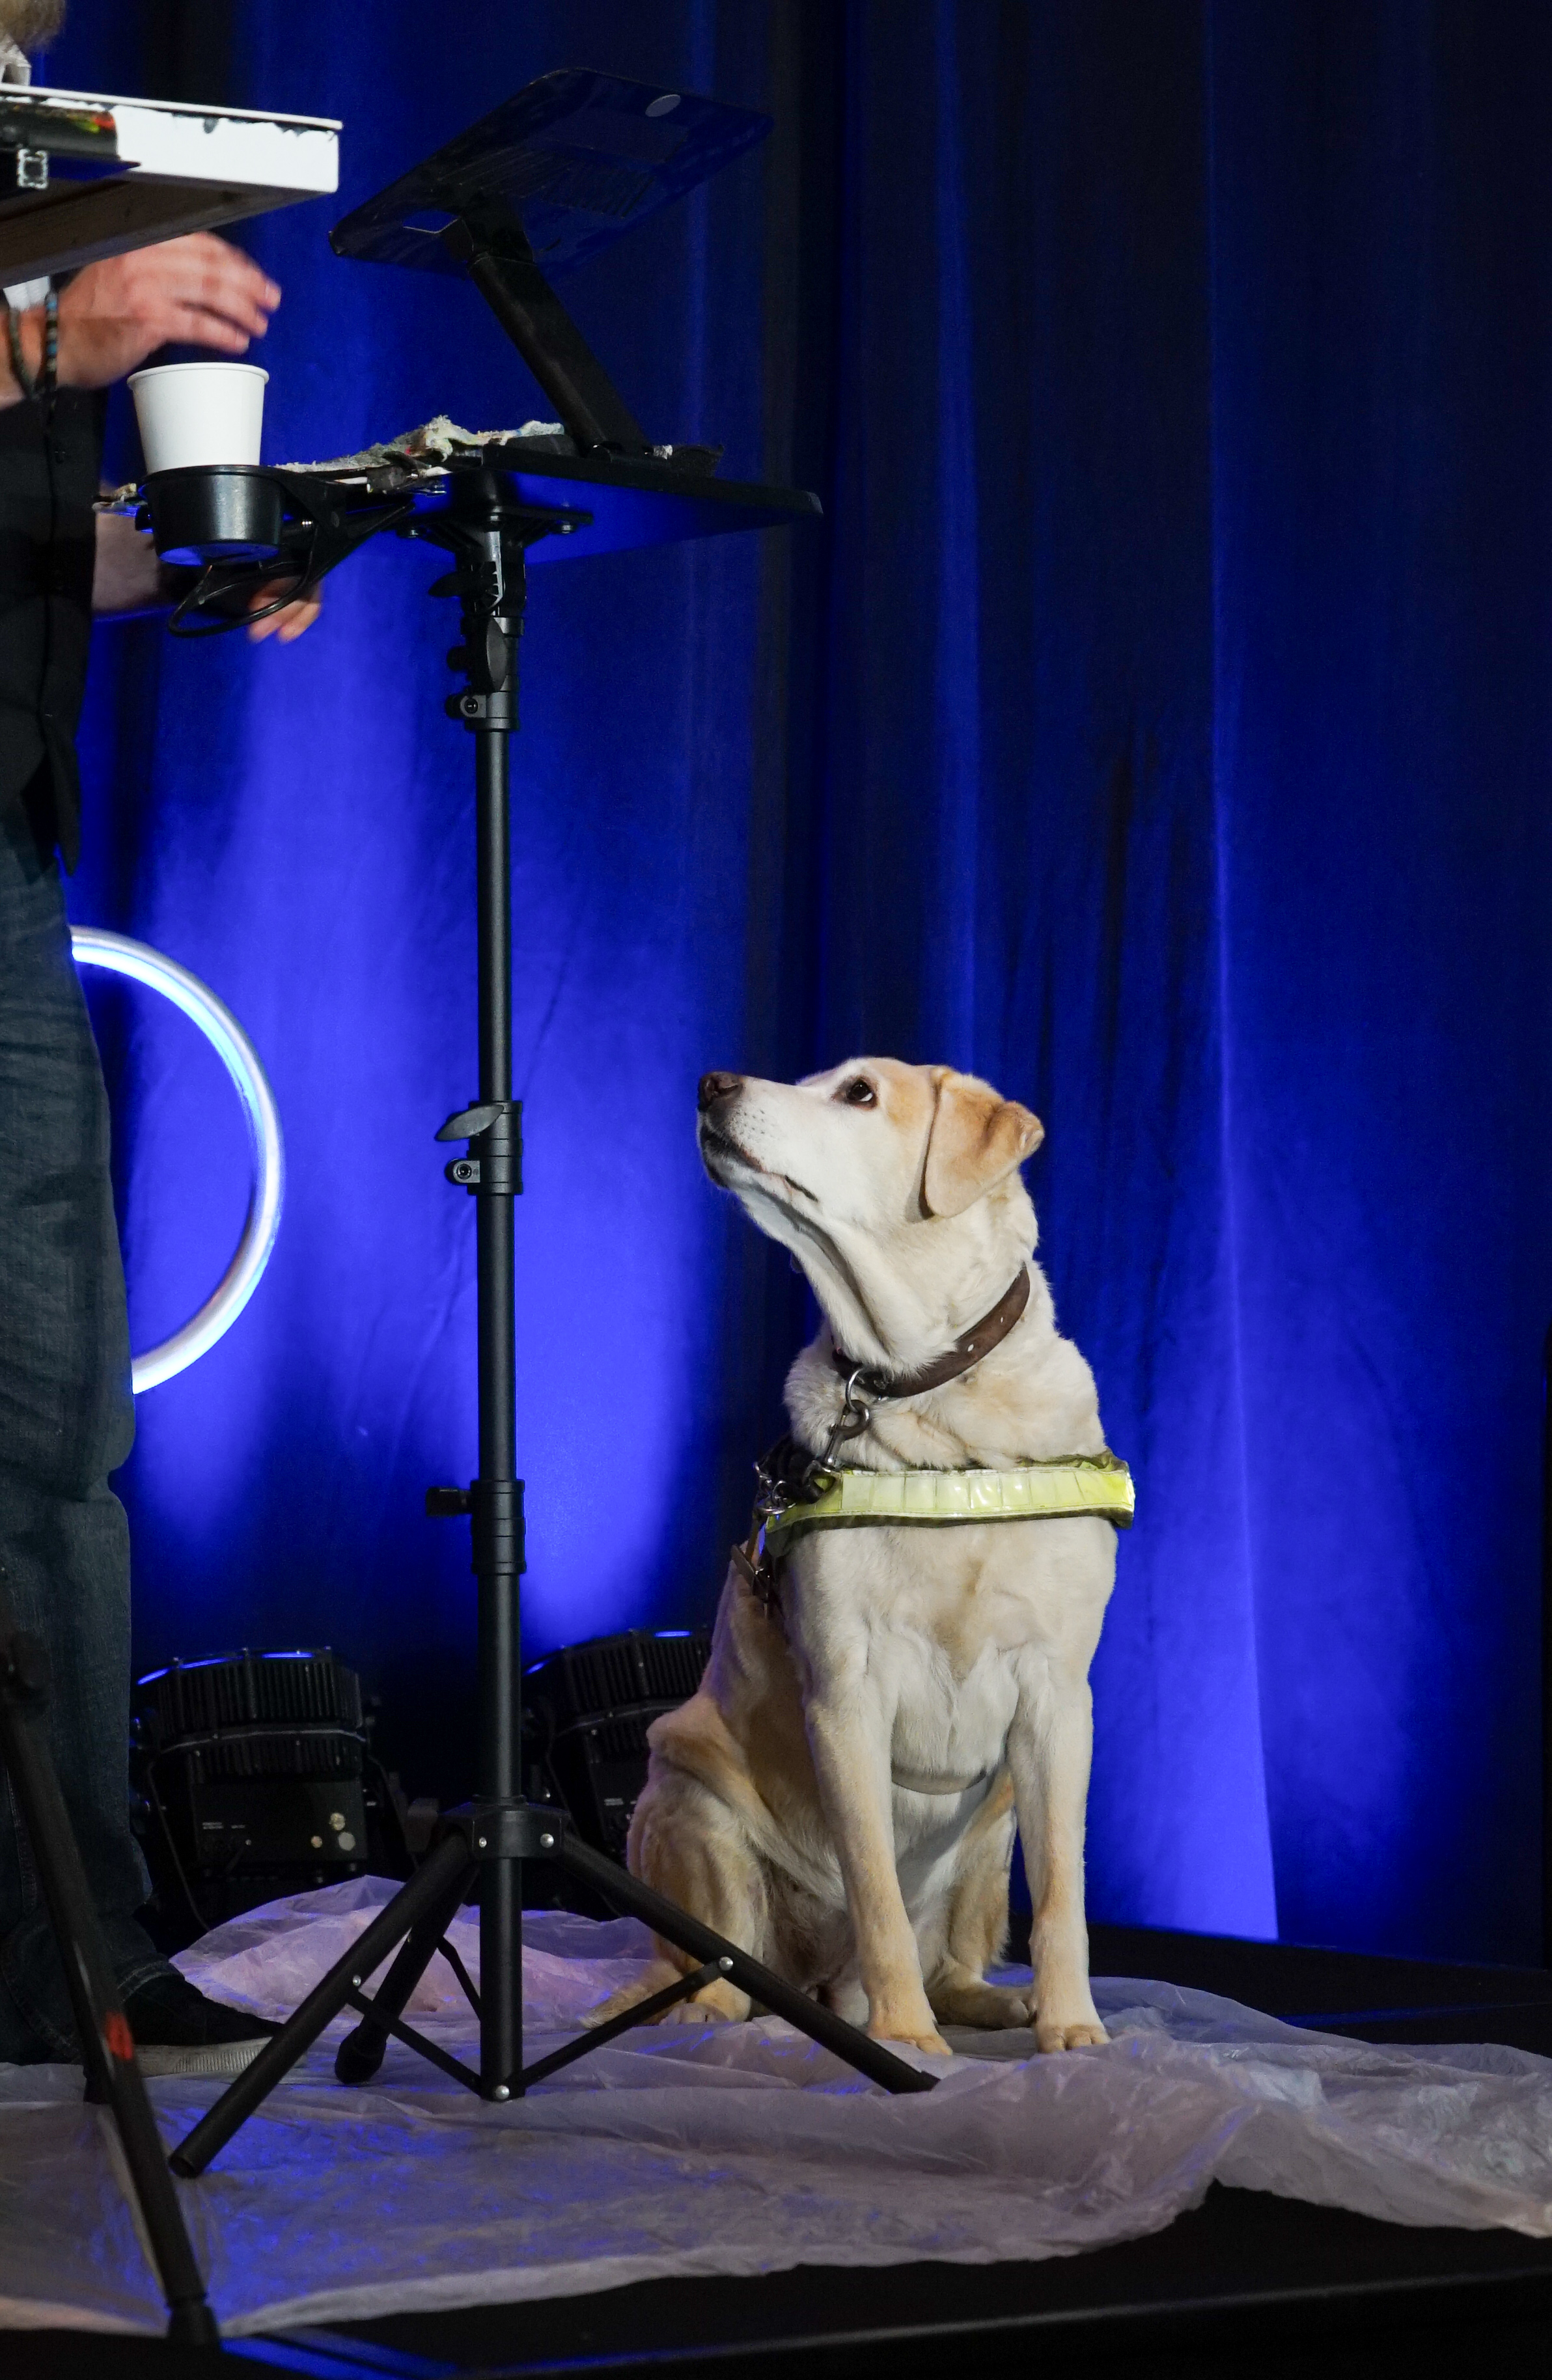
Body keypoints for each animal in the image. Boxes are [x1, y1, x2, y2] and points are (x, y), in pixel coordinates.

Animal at [594, 1059, 1122, 2056]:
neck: (936, 1398)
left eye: (859, 1094)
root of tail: (819, 1986)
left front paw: (1073, 2027)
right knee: (719, 1965)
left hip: (993, 1828)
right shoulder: (846, 1695)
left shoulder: (1057, 1700)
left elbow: (1063, 1896)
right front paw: (905, 2039)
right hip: (684, 1791)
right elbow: (875, 1887)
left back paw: (997, 2002)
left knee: (953, 1958)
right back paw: (719, 2015)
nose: (712, 1082)